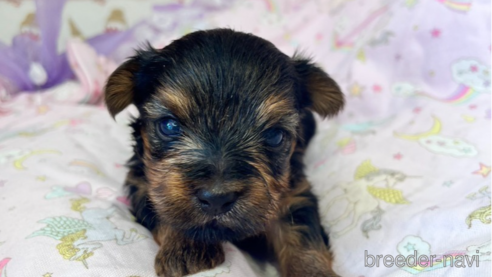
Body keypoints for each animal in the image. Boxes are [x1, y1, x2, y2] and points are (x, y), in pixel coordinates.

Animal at [104, 28, 342, 276]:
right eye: (169, 126)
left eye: (275, 135)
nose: (217, 198)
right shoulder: (143, 183)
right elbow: (165, 208)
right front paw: (187, 247)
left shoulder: (294, 194)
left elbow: (302, 235)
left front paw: (313, 271)